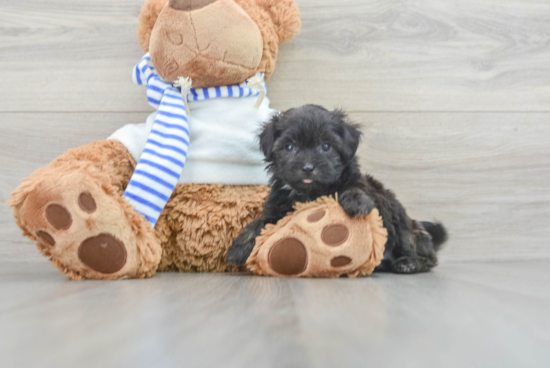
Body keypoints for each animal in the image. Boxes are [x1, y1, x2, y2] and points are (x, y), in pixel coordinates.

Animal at [229, 103, 448, 274]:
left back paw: (409, 263)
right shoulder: (277, 209)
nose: (307, 167)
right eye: (290, 147)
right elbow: (259, 223)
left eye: (326, 146)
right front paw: (239, 247)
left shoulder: (361, 186)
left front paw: (356, 201)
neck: (311, 193)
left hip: (399, 222)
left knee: (423, 252)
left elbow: (354, 188)